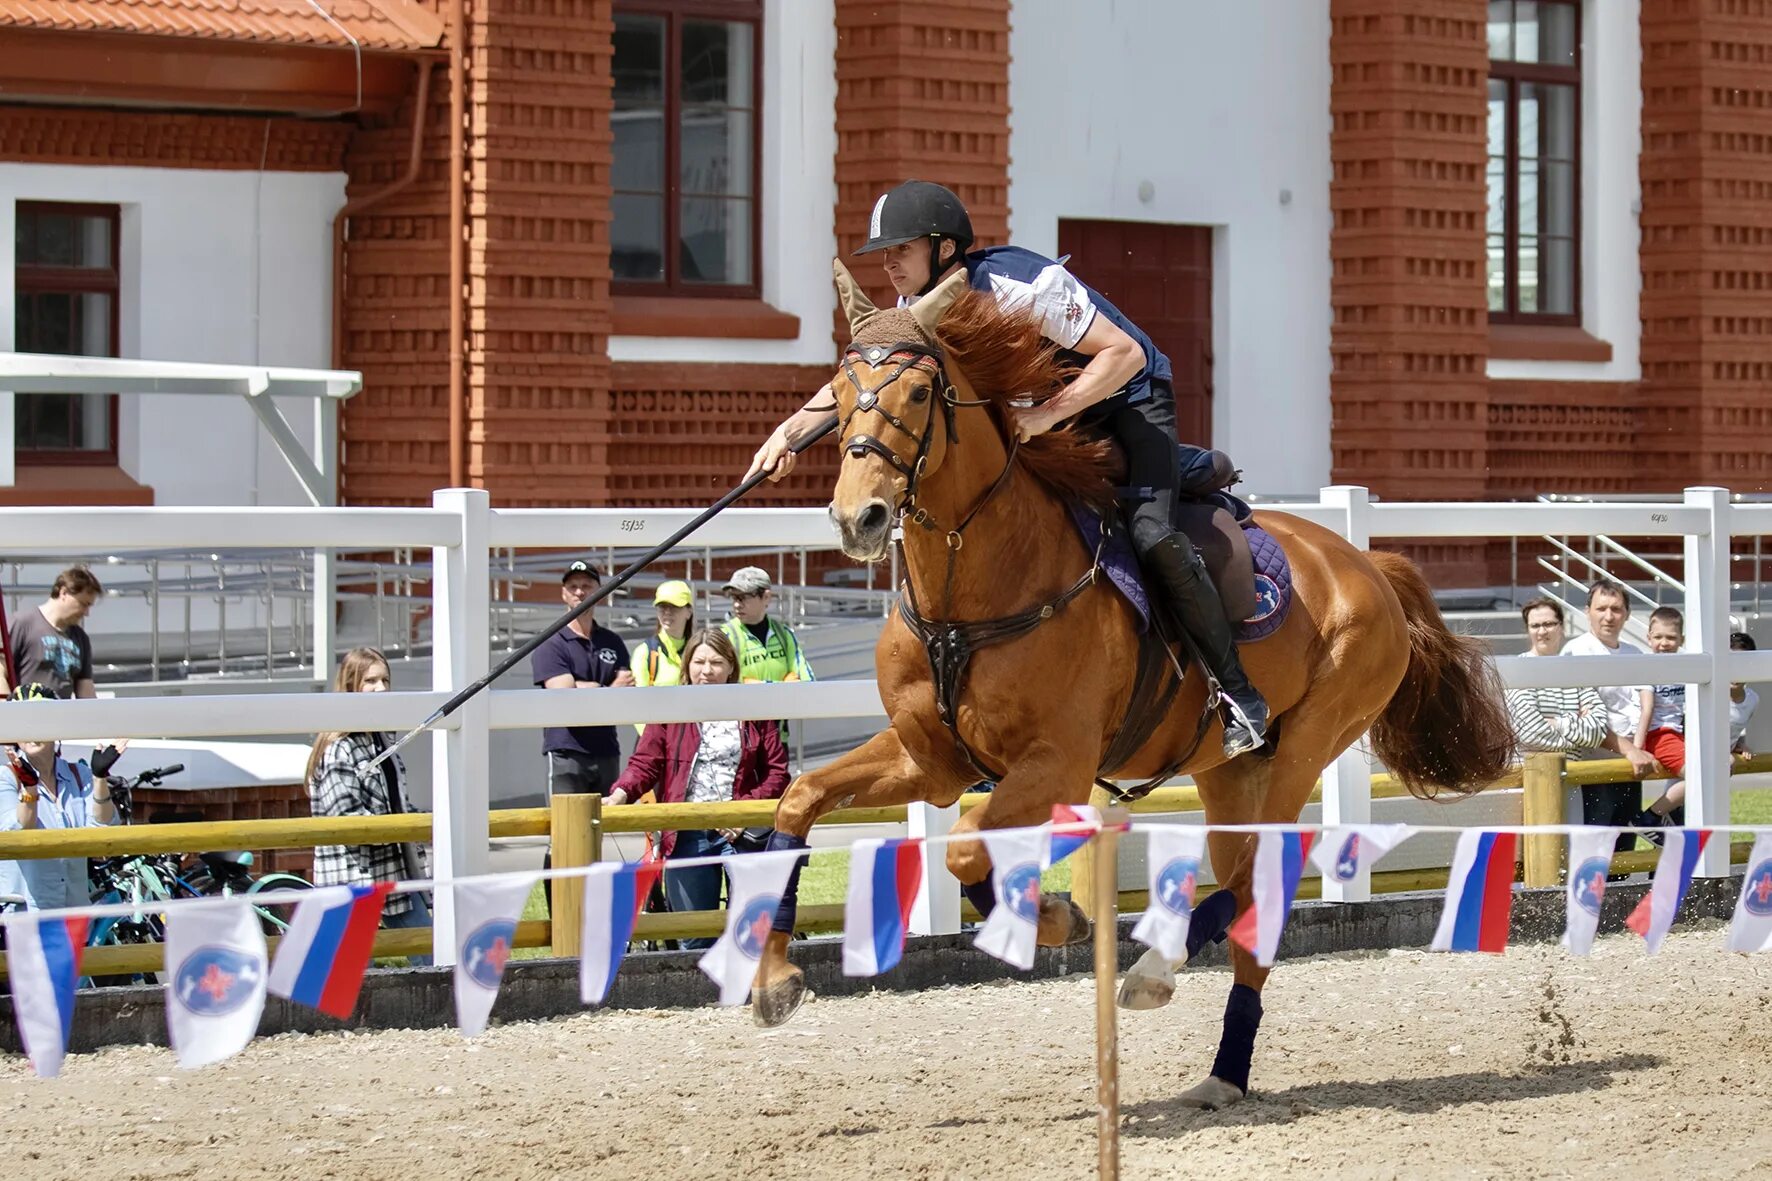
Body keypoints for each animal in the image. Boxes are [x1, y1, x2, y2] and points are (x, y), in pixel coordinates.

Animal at [747, 257, 1509, 1106]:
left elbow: (968, 847)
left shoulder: (1057, 764)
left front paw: (1054, 916)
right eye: (837, 392)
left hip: (1311, 738)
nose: (861, 519)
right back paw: (1210, 1049)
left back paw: (1162, 979)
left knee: (1267, 871)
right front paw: (774, 981)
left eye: (918, 392)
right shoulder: (930, 759)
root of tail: (1367, 563)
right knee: (1242, 873)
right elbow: (803, 800)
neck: (973, 589)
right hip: (1228, 768)